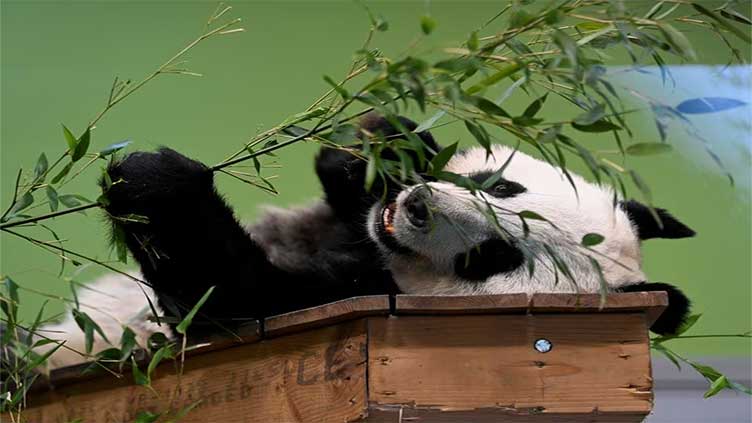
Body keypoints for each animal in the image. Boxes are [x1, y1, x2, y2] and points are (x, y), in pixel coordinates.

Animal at [22, 115, 692, 372]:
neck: (374, 249)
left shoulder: (350, 299)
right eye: (501, 185)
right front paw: (381, 143)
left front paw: (153, 180)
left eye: (490, 259)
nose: (418, 208)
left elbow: (231, 299)